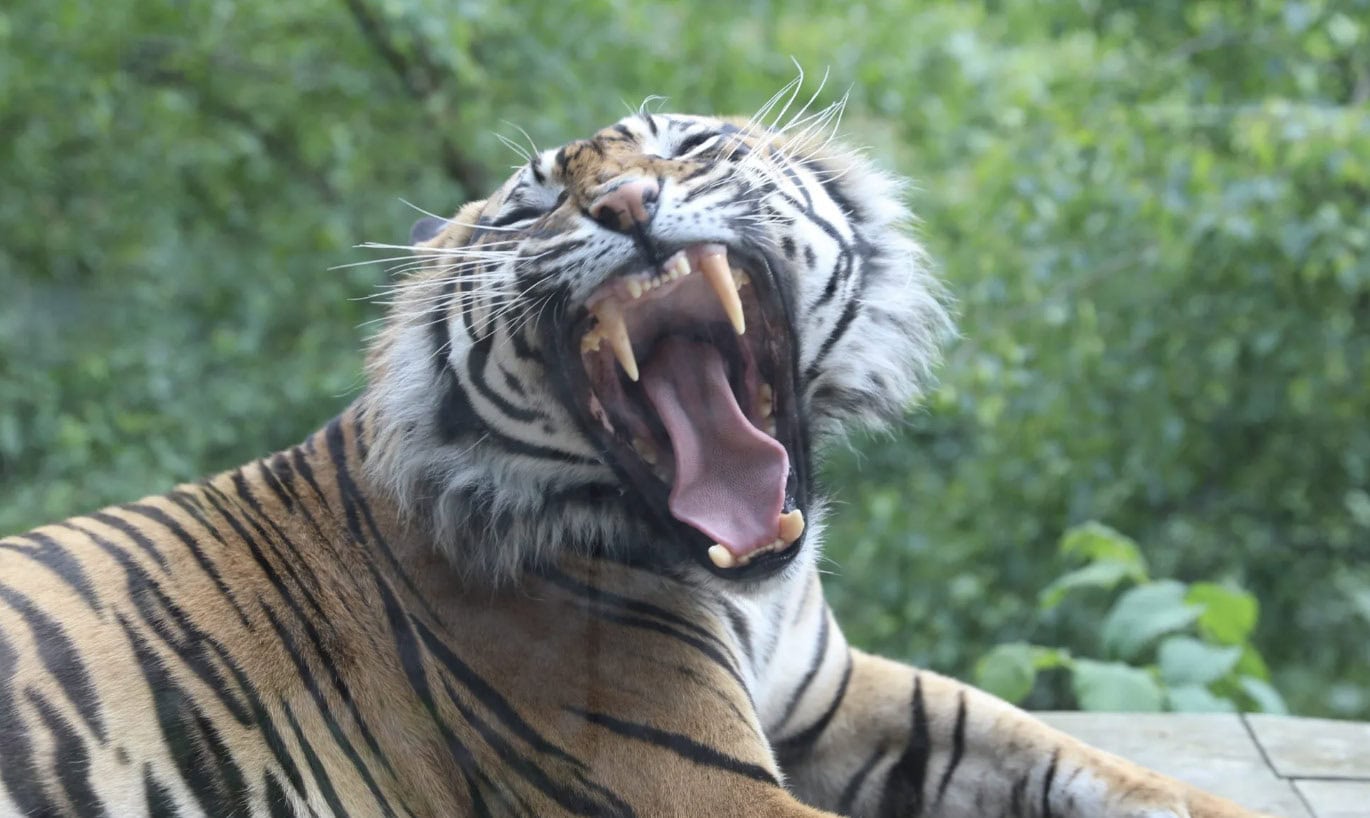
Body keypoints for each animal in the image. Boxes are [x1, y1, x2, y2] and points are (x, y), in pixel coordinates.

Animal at [0, 101, 1279, 818]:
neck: (747, 584)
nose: (622, 199)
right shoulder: (699, 782)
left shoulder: (839, 695)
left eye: (695, 149)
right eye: (529, 209)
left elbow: (1087, 760)